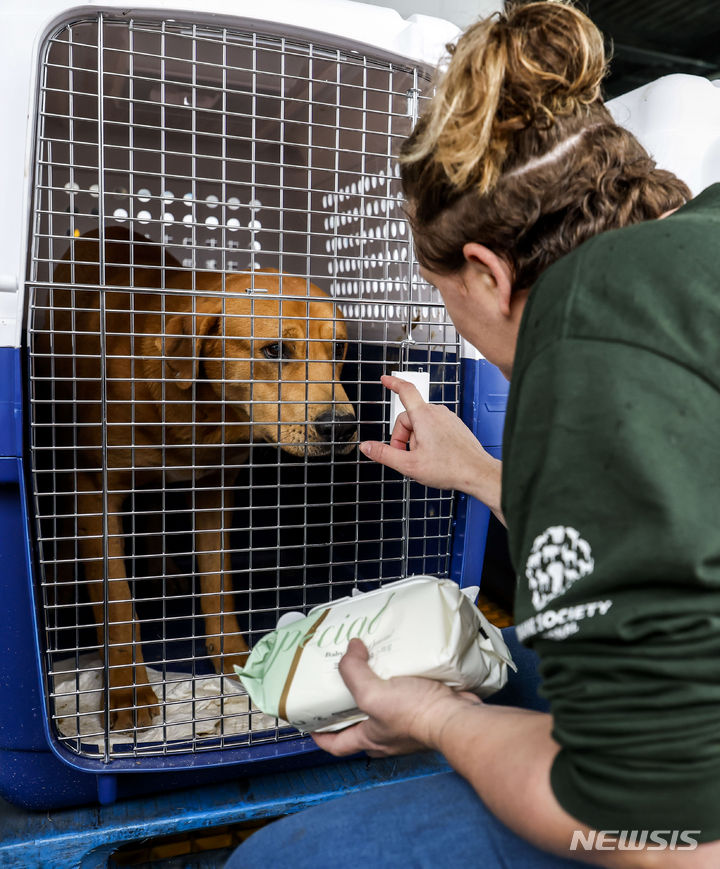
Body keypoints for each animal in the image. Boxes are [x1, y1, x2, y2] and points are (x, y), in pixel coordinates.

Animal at [43, 227, 358, 728]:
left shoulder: (215, 489)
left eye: (341, 349)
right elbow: (116, 602)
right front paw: (129, 692)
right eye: (275, 350)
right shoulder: (95, 491)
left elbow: (218, 585)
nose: (343, 428)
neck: (203, 410)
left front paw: (234, 658)